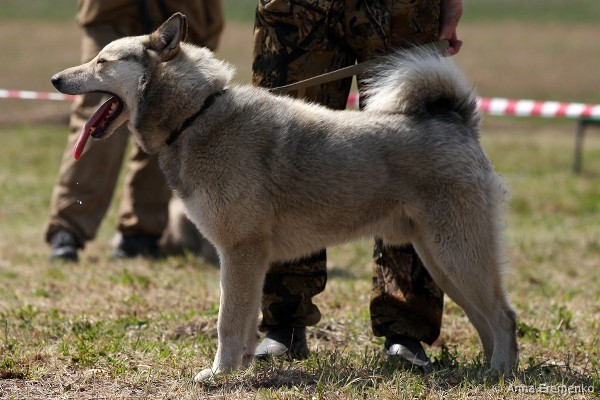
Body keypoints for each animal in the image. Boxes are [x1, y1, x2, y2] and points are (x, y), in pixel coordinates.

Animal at [51, 13, 518, 382]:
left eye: (101, 61)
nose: (54, 79)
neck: (195, 115)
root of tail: (458, 121)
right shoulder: (247, 258)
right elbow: (243, 321)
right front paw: (237, 366)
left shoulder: (240, 251)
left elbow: (227, 320)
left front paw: (219, 375)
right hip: (443, 261)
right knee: (486, 318)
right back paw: (486, 368)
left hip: (456, 253)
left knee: (504, 317)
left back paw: (500, 372)